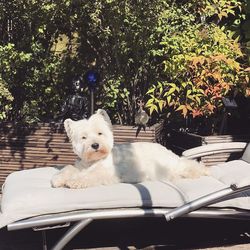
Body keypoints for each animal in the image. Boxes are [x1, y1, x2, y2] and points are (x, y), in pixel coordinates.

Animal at [51, 108, 209, 188]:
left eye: (100, 133)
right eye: (84, 137)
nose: (95, 145)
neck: (95, 160)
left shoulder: (109, 172)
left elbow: (92, 175)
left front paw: (74, 181)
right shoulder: (81, 166)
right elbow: (69, 168)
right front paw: (58, 179)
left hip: (165, 167)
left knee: (188, 166)